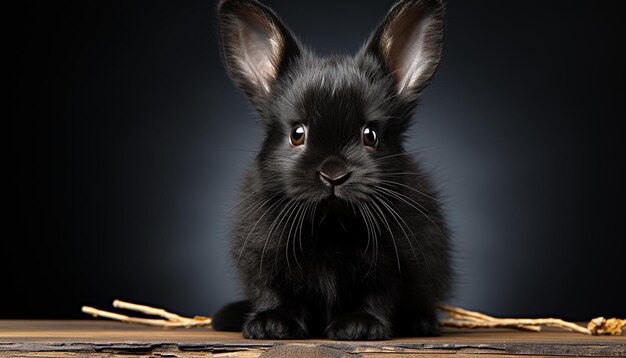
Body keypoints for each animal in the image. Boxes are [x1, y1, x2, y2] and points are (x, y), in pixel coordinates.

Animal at [212, 0, 450, 342]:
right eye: (297, 134)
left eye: (370, 136)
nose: (334, 175)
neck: (331, 222)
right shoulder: (264, 261)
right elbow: (275, 293)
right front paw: (271, 325)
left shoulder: (391, 267)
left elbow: (377, 296)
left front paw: (359, 326)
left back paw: (421, 323)